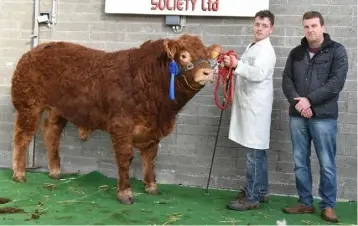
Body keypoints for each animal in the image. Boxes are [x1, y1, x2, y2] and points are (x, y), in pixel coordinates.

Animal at [10, 34, 221, 205]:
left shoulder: (153, 131)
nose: (208, 73)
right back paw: (19, 174)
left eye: (207, 56)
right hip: (29, 106)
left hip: (57, 111)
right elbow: (125, 157)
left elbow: (150, 157)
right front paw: (125, 193)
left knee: (51, 133)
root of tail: (36, 50)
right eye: (184, 55)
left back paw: (55, 172)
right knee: (22, 137)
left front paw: (152, 187)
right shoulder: (121, 126)